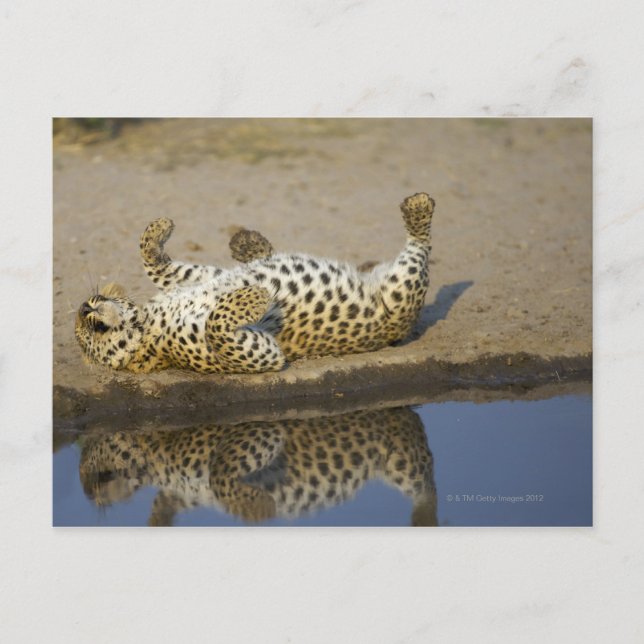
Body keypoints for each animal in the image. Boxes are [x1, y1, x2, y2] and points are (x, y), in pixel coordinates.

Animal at [75, 192, 435, 374]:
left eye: (92, 305)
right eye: (91, 330)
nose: (84, 307)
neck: (149, 320)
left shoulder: (199, 279)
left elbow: (157, 264)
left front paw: (159, 228)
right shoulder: (261, 355)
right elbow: (216, 325)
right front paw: (256, 294)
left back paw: (248, 243)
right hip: (399, 292)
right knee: (420, 244)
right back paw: (419, 207)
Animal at [78, 406, 438, 526]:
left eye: (100, 477)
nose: (85, 493)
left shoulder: (257, 431)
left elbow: (220, 471)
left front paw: (263, 508)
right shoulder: (184, 491)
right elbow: (169, 499)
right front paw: (157, 520)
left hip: (401, 460)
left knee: (425, 481)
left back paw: (425, 516)